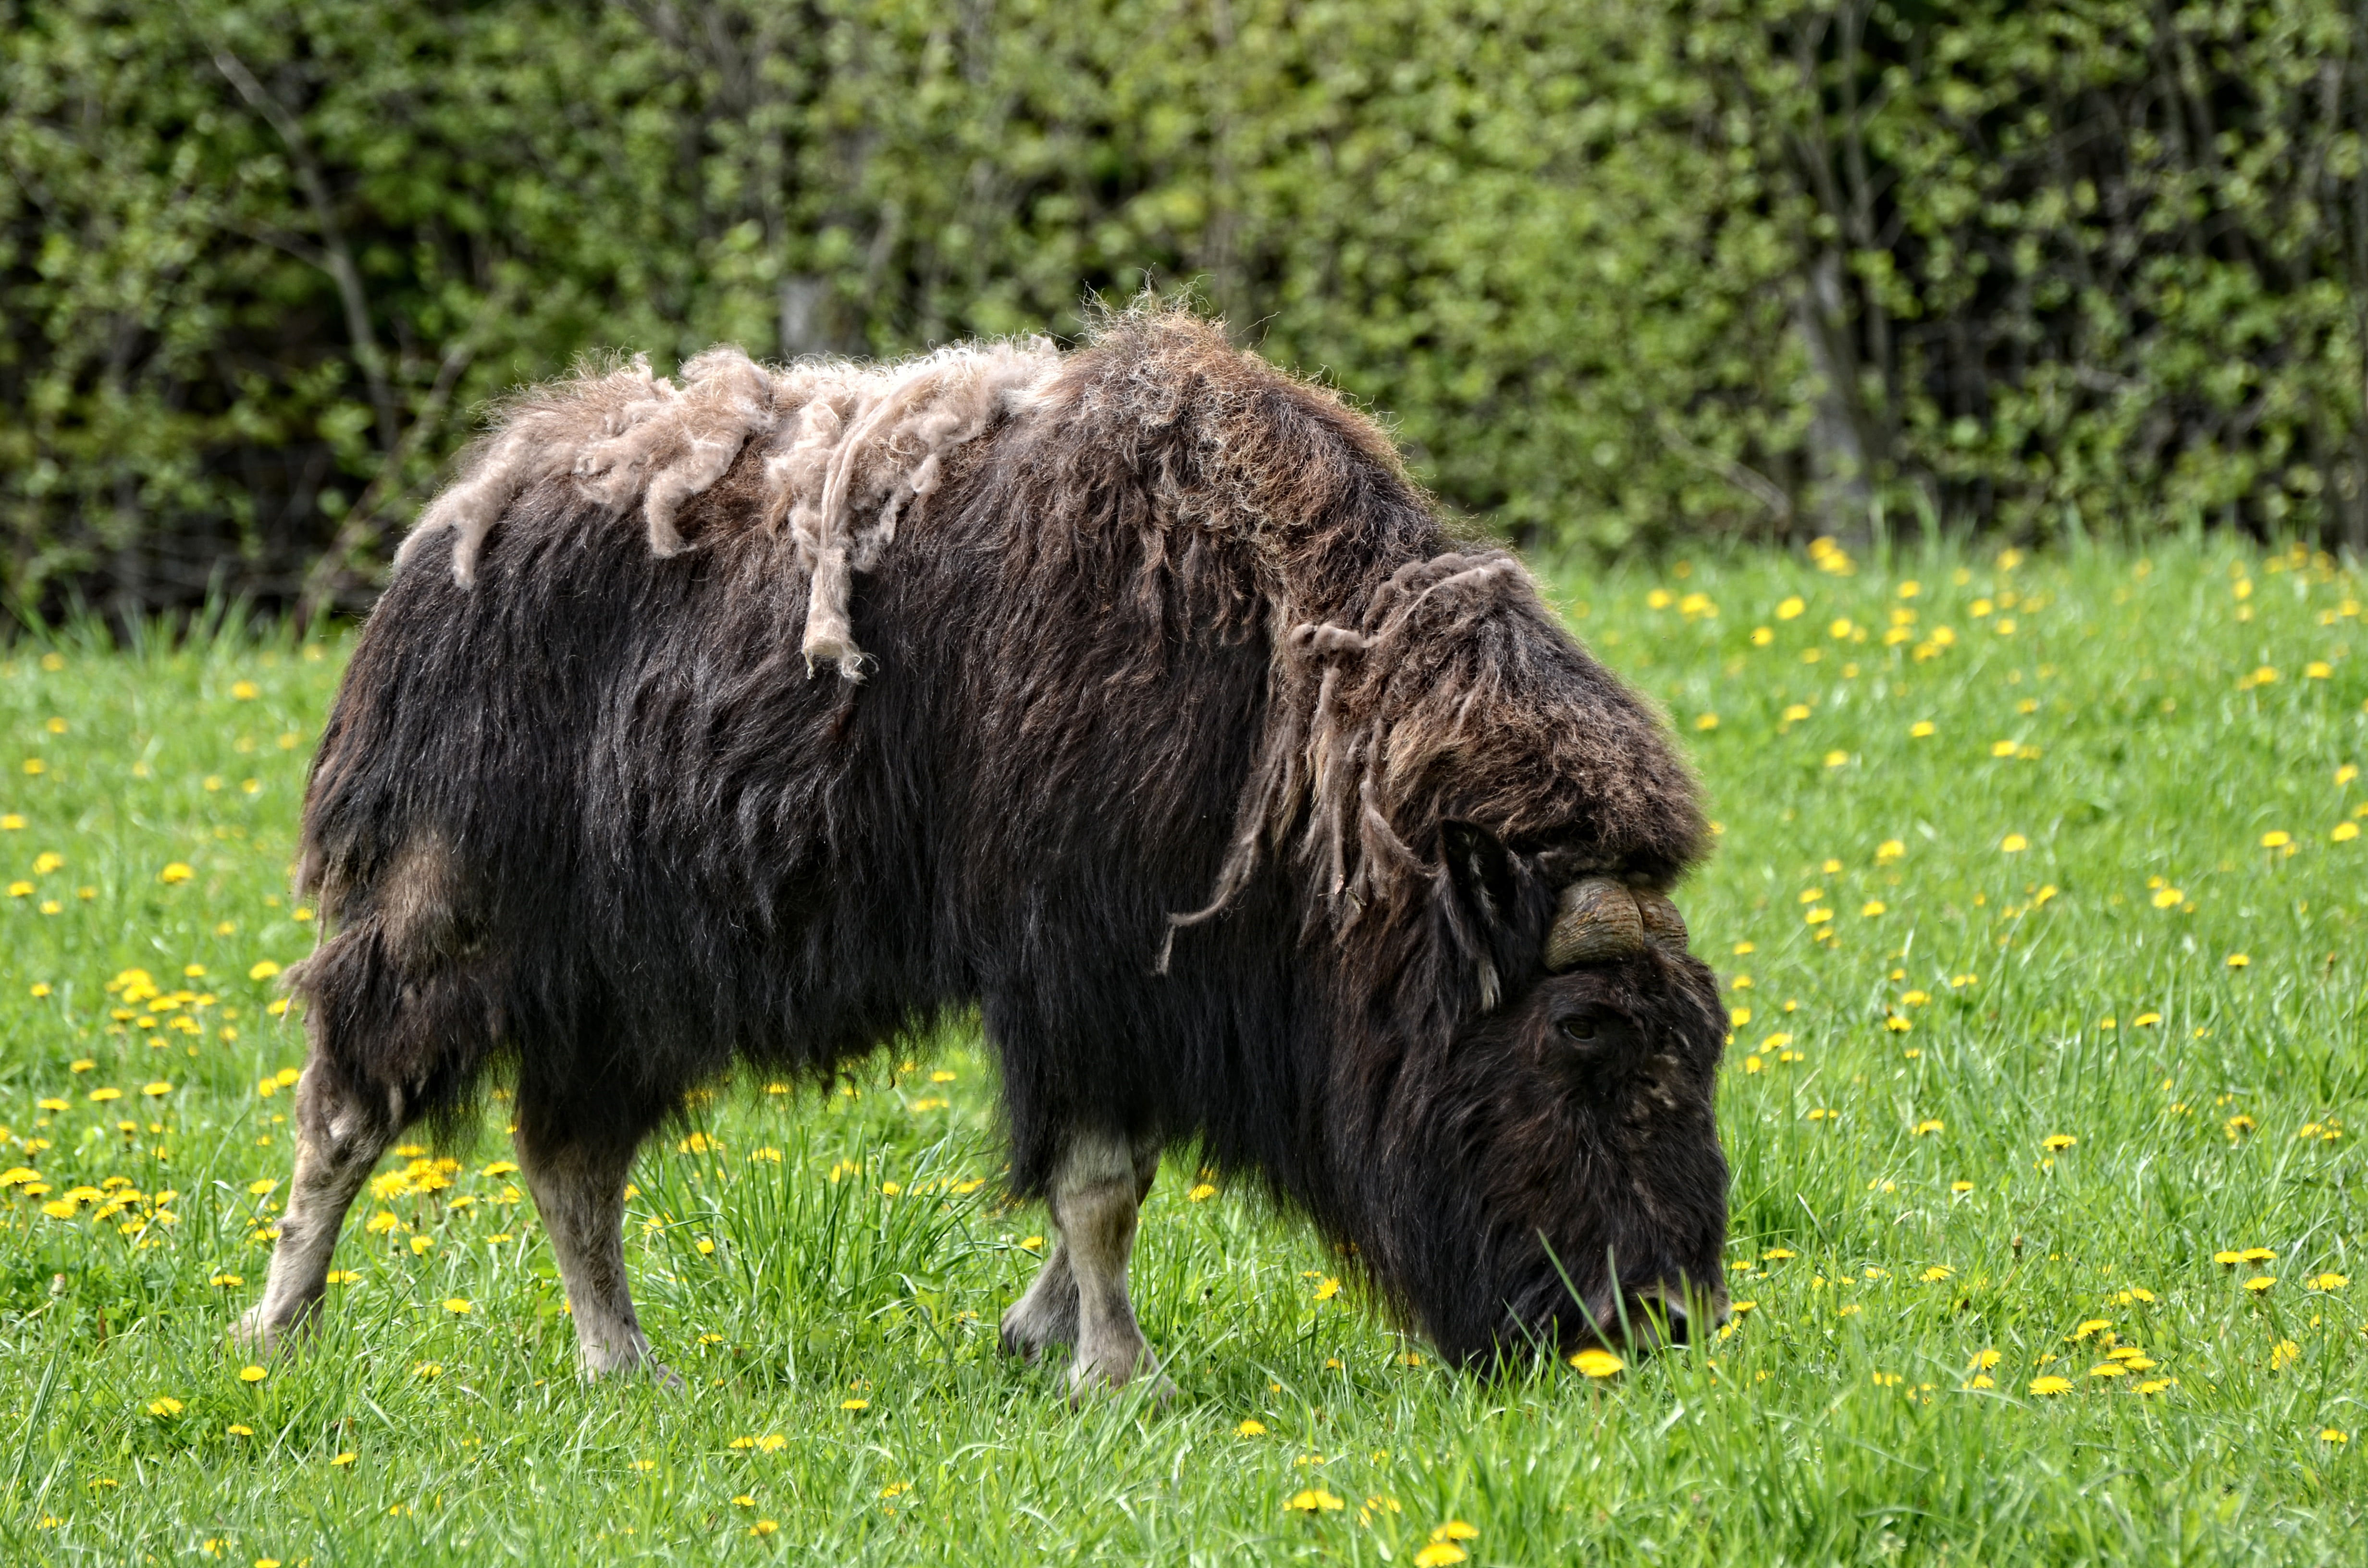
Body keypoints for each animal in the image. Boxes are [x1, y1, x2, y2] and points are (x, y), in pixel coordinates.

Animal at [235, 308, 1729, 1396]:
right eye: (1583, 1037)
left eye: (1702, 1039)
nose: (1657, 1319)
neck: (1295, 709)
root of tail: (455, 521)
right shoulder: (1081, 968)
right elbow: (1102, 1185)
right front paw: (1120, 1374)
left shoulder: (1144, 994)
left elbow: (1108, 1183)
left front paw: (1035, 1336)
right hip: (454, 909)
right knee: (350, 1100)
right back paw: (277, 1330)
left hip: (630, 991)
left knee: (569, 1160)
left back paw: (627, 1367)